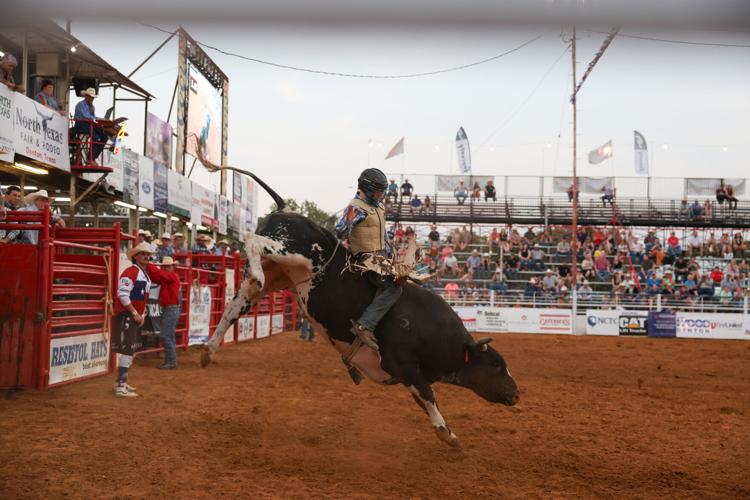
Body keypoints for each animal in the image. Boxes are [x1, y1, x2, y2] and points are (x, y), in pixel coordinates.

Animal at [197, 165, 520, 450]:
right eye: (496, 366)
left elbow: (424, 397)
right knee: (252, 240)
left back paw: (208, 350)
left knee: (232, 309)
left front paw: (448, 434)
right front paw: (448, 435)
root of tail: (284, 209)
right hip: (289, 251)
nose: (517, 394)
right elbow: (429, 396)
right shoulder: (401, 364)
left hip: (279, 272)